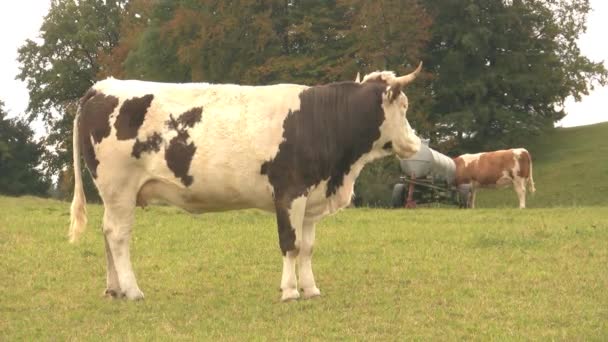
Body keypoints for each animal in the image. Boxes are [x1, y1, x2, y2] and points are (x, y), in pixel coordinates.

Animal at [69, 62, 422, 300]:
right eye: (404, 106)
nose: (416, 143)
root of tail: (101, 86)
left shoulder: (312, 197)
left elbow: (307, 247)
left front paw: (310, 289)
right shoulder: (289, 191)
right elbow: (290, 244)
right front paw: (290, 291)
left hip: (114, 194)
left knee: (107, 232)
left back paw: (114, 289)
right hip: (119, 187)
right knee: (118, 236)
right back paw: (132, 290)